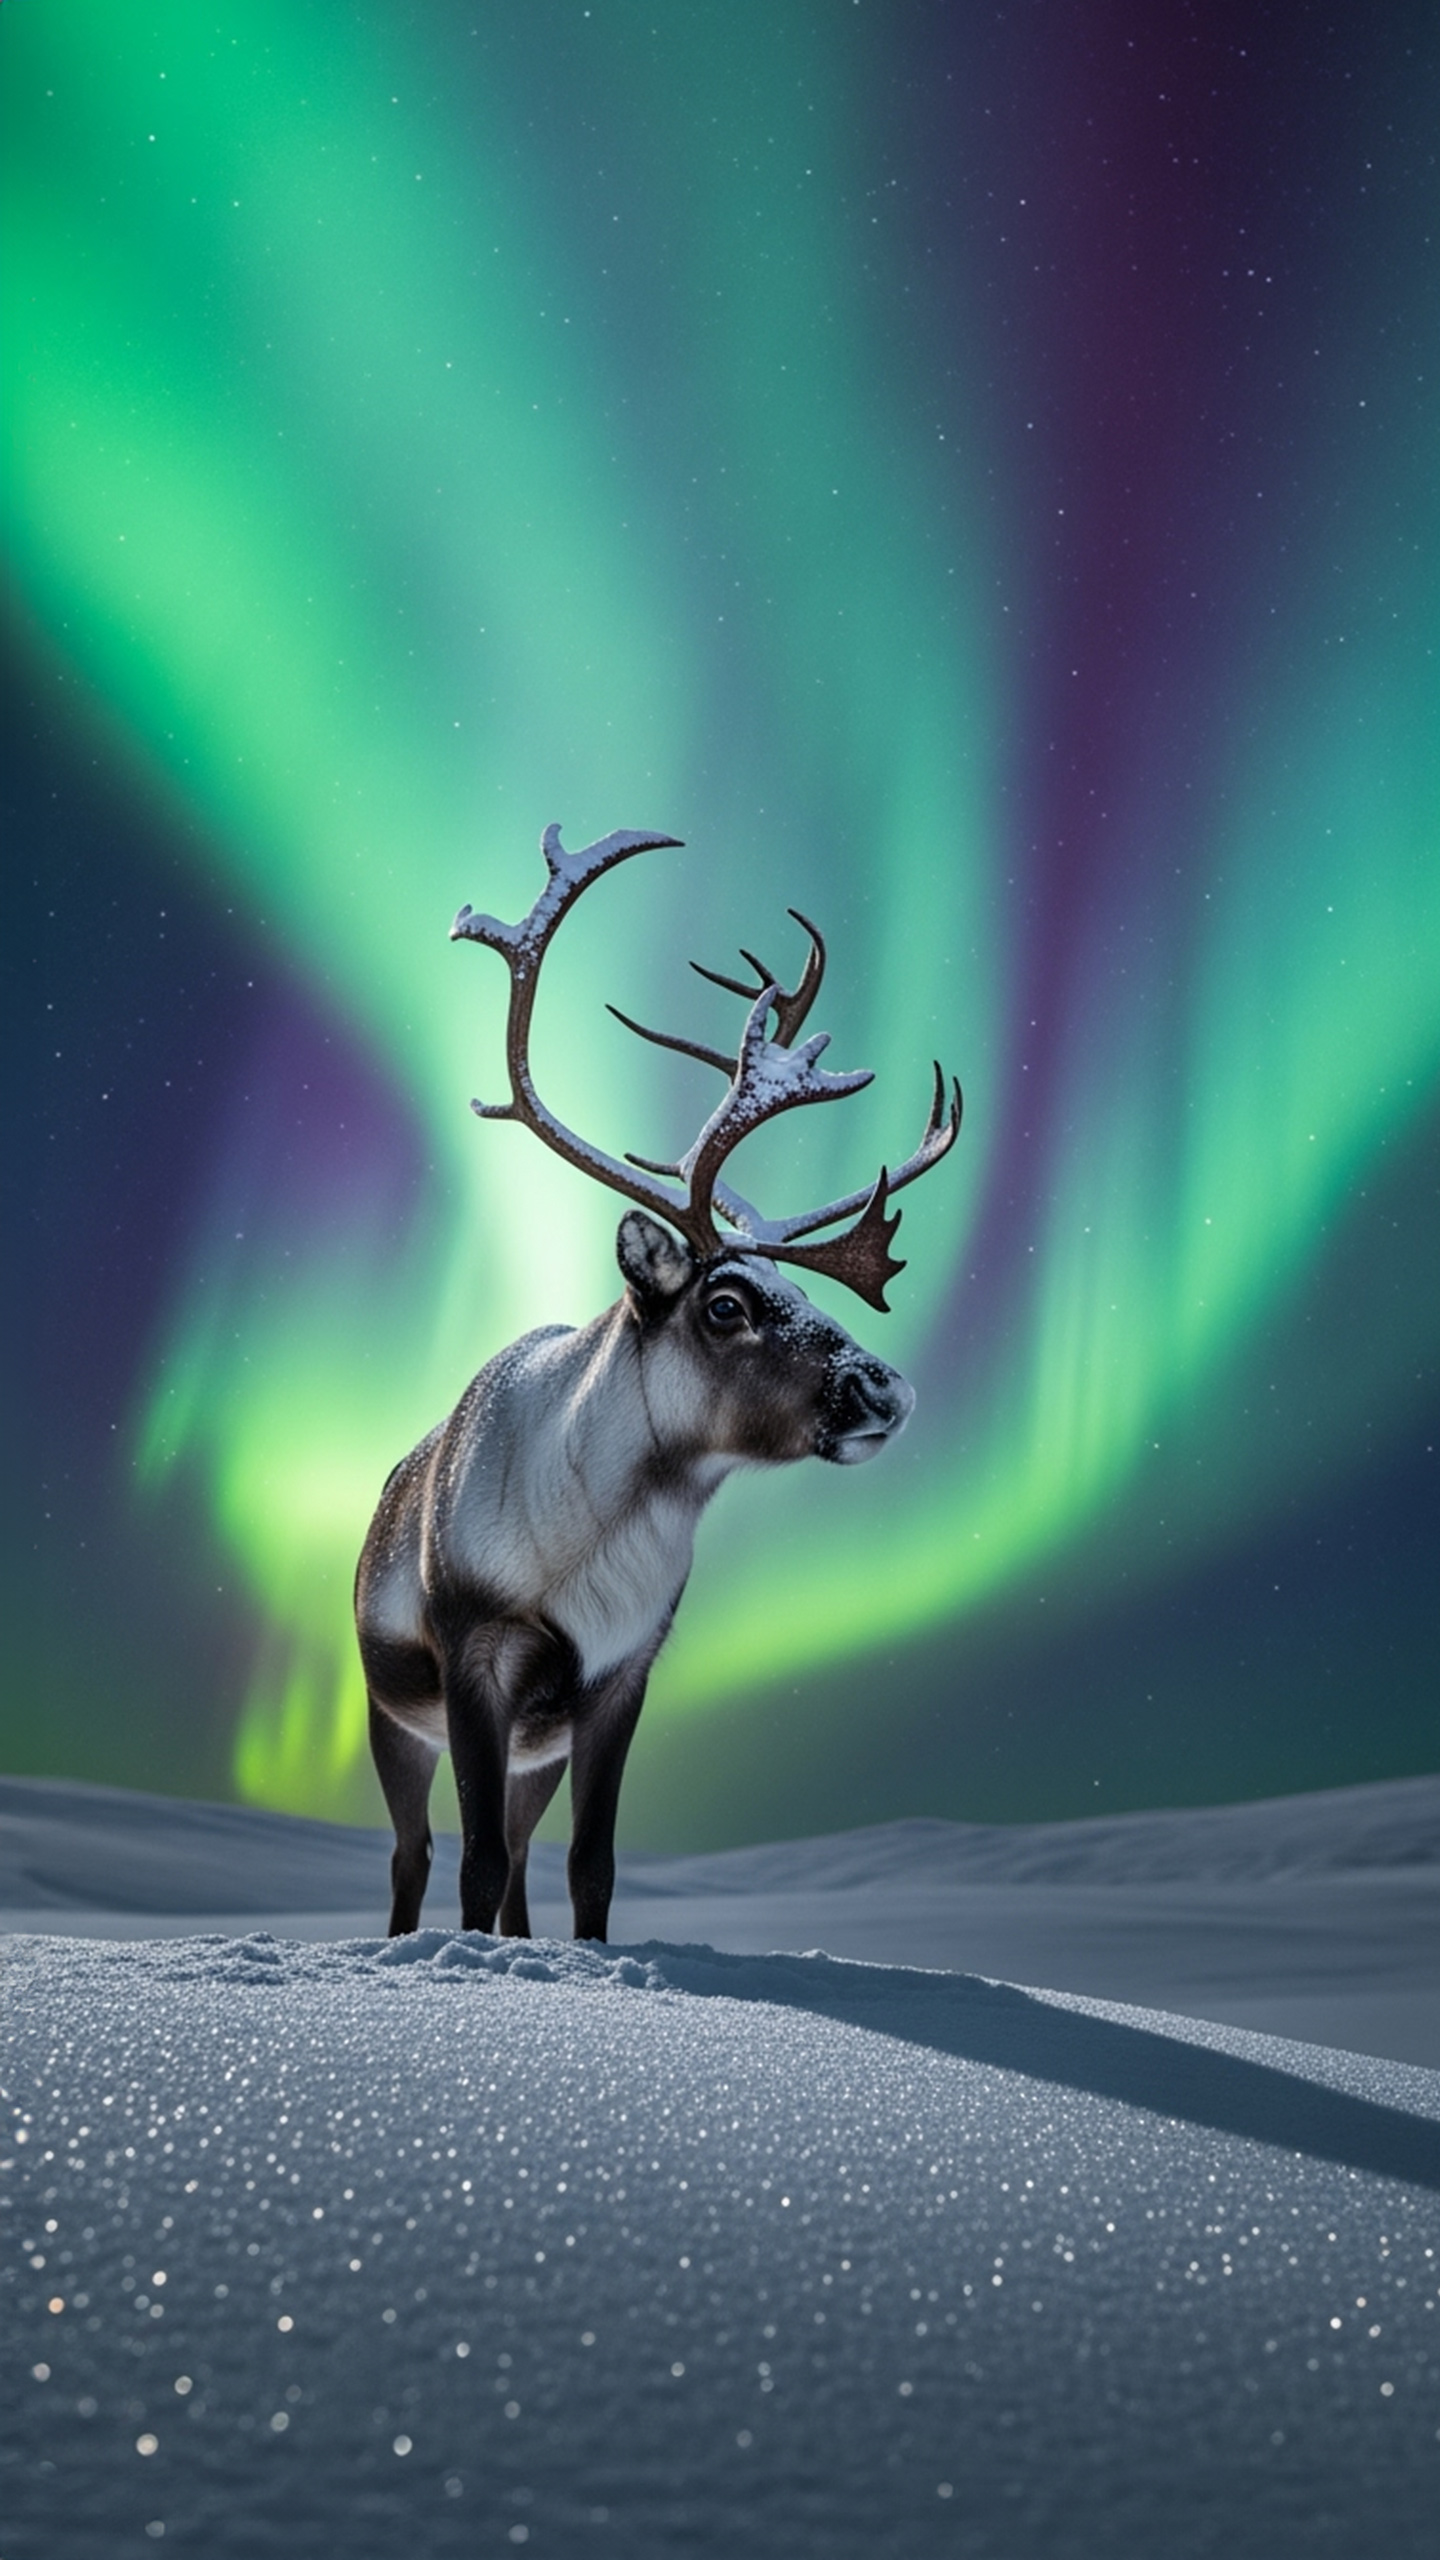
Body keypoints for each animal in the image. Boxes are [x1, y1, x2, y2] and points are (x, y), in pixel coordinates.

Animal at [355, 824, 961, 1941]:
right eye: (723, 1303)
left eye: (791, 1284)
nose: (887, 1390)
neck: (598, 1537)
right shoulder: (475, 1659)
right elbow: (473, 1860)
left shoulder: (621, 1676)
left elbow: (588, 1864)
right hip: (392, 1716)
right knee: (415, 1854)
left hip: (535, 1750)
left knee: (518, 1861)